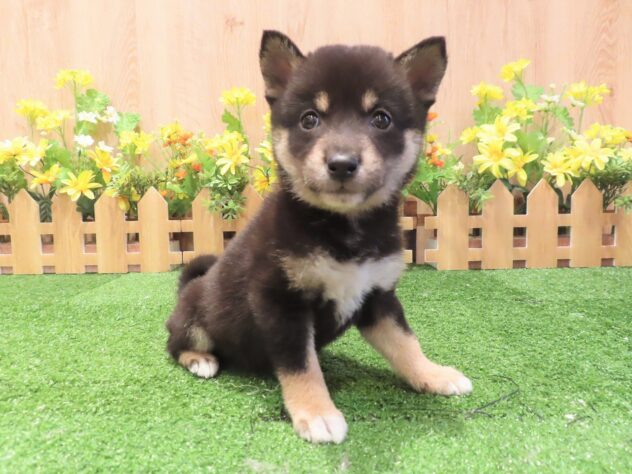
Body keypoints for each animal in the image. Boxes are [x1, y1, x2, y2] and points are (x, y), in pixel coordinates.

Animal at [166, 31, 472, 444]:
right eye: (309, 119)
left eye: (381, 118)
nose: (342, 163)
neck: (345, 230)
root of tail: (188, 289)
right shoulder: (281, 302)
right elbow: (301, 366)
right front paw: (317, 413)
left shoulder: (378, 298)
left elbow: (406, 343)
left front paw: (433, 375)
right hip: (194, 321)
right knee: (176, 344)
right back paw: (201, 360)